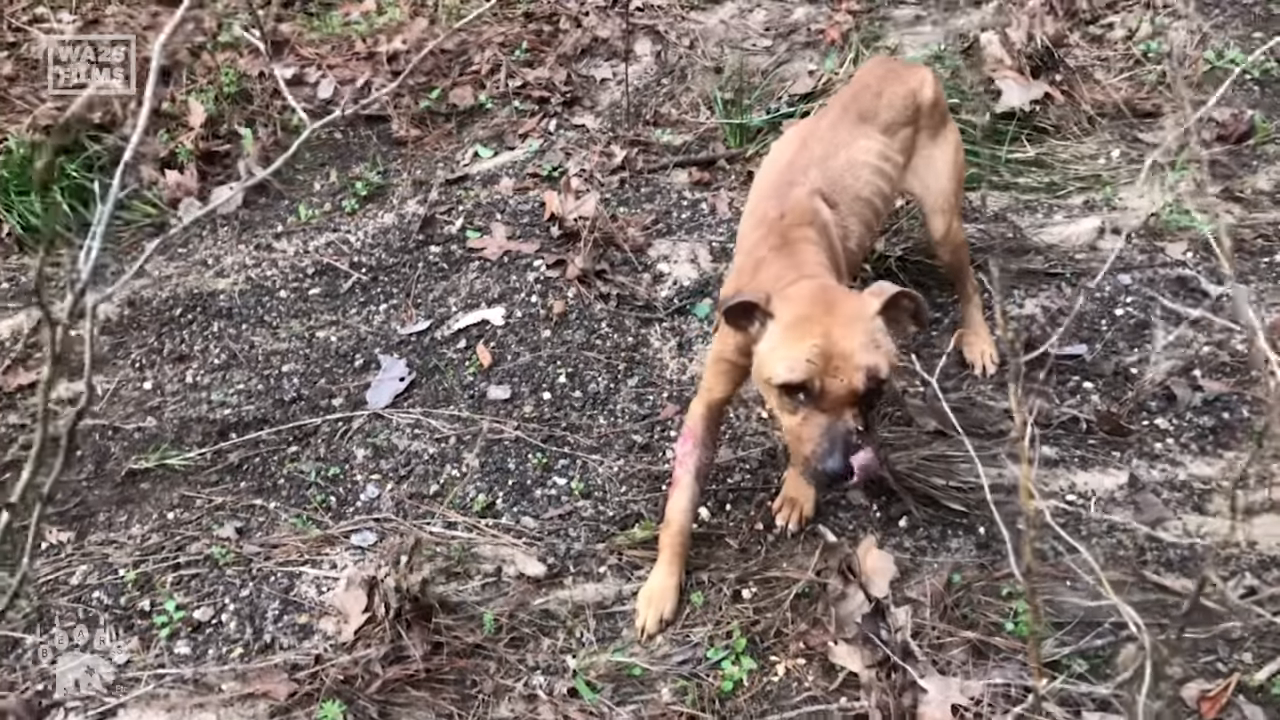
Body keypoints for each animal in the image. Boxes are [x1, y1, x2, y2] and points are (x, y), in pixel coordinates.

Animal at [634, 57, 1003, 638]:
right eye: (795, 390)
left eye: (873, 391)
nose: (836, 471)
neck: (793, 264)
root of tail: (903, 64)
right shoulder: (709, 400)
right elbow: (681, 501)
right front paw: (661, 584)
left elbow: (799, 446)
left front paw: (797, 490)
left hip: (943, 218)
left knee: (967, 280)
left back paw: (979, 339)